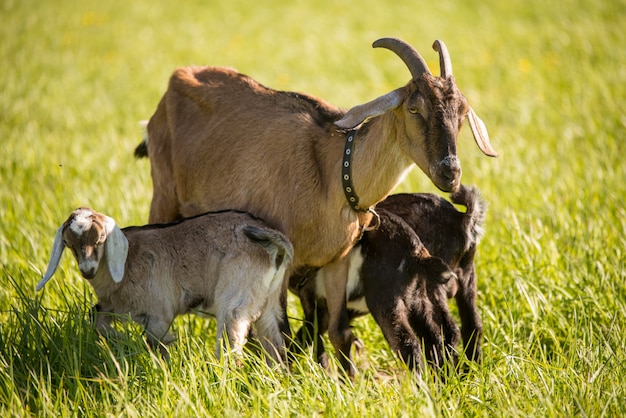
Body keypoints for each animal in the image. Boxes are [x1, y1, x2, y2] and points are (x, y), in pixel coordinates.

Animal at [36, 208, 292, 362]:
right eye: (69, 244)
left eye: (99, 240)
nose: (87, 270)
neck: (128, 260)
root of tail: (273, 241)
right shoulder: (114, 306)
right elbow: (96, 319)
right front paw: (121, 339)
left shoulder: (159, 313)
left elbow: (156, 342)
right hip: (268, 301)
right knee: (275, 344)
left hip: (236, 298)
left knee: (231, 345)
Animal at [134, 37, 494, 342]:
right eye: (414, 108)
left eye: (461, 114)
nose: (450, 172)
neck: (334, 174)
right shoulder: (283, 258)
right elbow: (281, 329)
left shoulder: (336, 261)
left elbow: (338, 331)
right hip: (163, 195)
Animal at [290, 185, 486, 376]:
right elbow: (305, 337)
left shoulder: (315, 303)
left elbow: (309, 336)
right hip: (452, 285)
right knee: (462, 328)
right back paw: (462, 375)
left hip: (391, 300)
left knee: (413, 341)